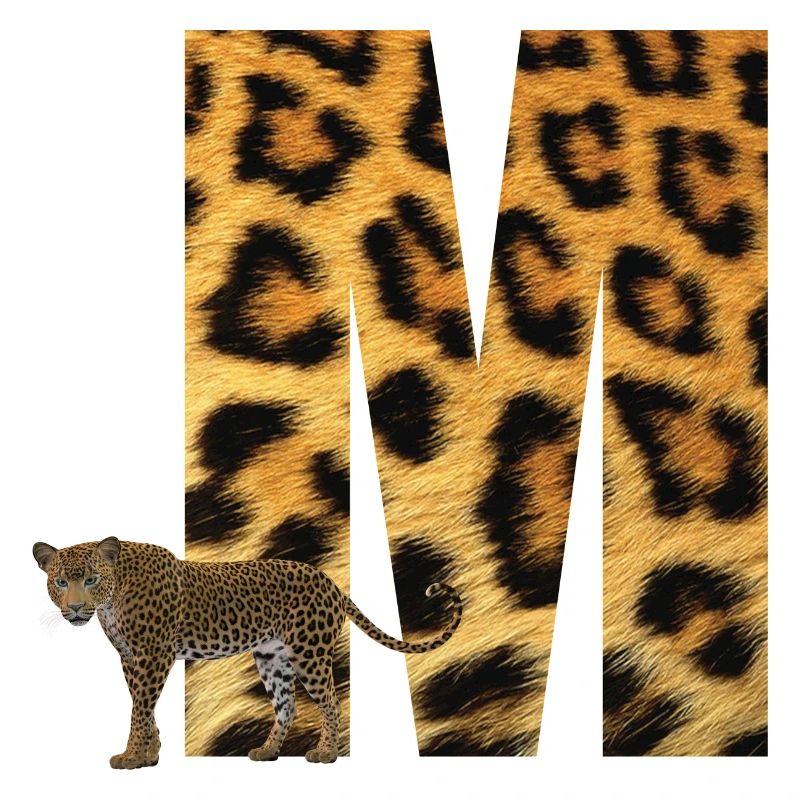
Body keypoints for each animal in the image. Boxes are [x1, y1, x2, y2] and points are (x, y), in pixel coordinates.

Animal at [32, 536, 462, 768]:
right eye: (59, 582)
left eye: (91, 579)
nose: (74, 608)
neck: (112, 597)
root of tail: (332, 583)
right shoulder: (131, 659)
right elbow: (143, 706)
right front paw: (150, 754)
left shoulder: (153, 656)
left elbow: (139, 708)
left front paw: (133, 757)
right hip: (272, 658)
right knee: (287, 706)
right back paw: (268, 752)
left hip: (309, 652)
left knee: (331, 701)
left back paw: (325, 754)